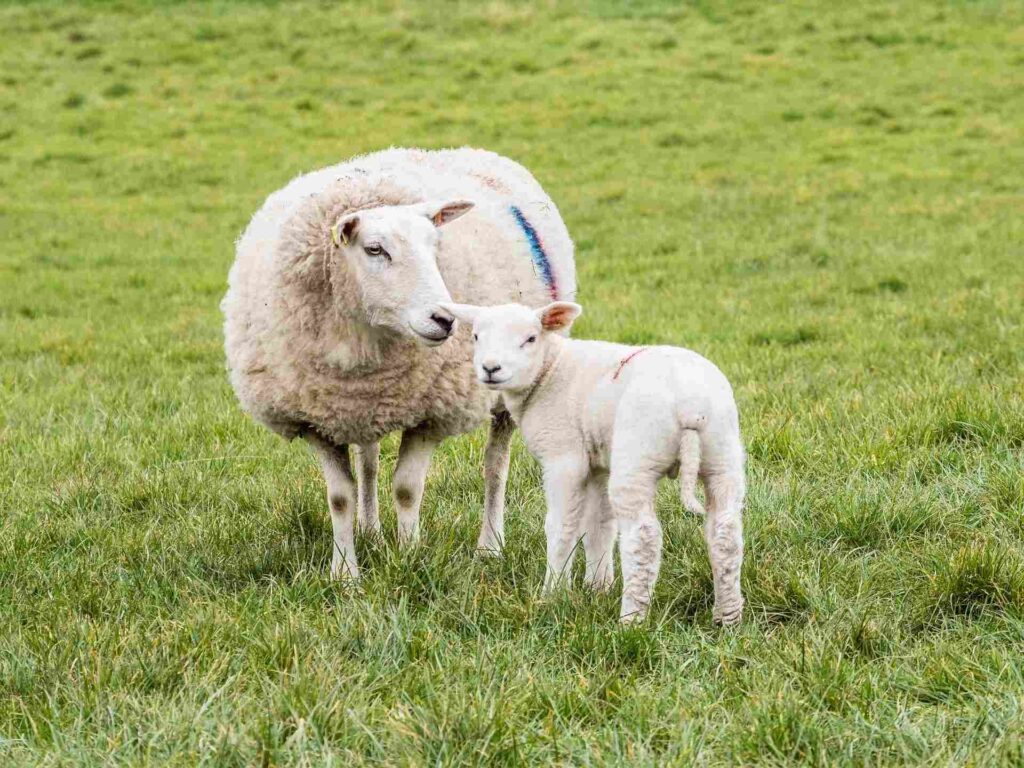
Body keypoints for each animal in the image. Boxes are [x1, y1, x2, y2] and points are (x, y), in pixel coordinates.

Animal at [222, 148, 576, 578]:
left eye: (434, 245)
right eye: (374, 249)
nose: (445, 319)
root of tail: (474, 152)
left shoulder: (431, 413)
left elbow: (407, 488)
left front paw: (408, 556)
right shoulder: (315, 419)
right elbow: (340, 496)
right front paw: (345, 573)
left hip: (510, 386)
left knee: (495, 467)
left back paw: (489, 547)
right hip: (362, 408)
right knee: (369, 463)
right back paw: (370, 531)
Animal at [442, 301, 745, 625]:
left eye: (530, 338)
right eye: (475, 336)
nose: (490, 368)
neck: (550, 371)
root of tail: (690, 407)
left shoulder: (564, 457)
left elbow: (562, 526)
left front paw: (554, 594)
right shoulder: (599, 463)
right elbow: (599, 525)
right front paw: (598, 587)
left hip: (638, 454)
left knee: (643, 537)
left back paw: (631, 620)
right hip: (722, 452)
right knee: (726, 531)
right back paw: (727, 617)